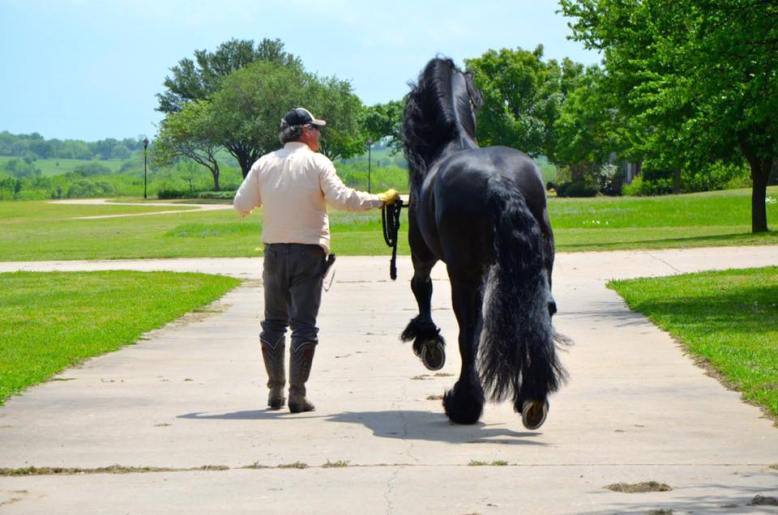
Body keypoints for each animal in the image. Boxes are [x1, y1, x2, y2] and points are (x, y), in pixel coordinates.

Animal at [400, 57, 566, 430]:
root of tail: (497, 179)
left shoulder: (422, 254)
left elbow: (420, 288)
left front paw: (429, 342)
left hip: (464, 273)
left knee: (470, 330)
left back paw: (464, 404)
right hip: (538, 266)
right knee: (541, 312)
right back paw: (532, 398)